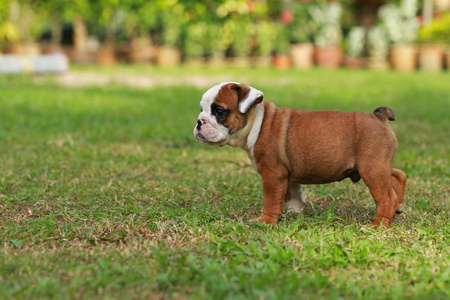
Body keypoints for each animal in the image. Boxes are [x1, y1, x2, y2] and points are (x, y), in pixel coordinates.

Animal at [195, 82, 406, 227]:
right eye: (202, 110)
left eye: (219, 112)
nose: (199, 122)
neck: (258, 122)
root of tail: (377, 117)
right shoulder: (286, 174)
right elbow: (292, 193)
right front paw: (293, 212)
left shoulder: (273, 174)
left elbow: (271, 199)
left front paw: (266, 220)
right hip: (378, 165)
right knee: (398, 174)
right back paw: (399, 206)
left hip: (371, 169)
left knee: (386, 197)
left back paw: (378, 225)